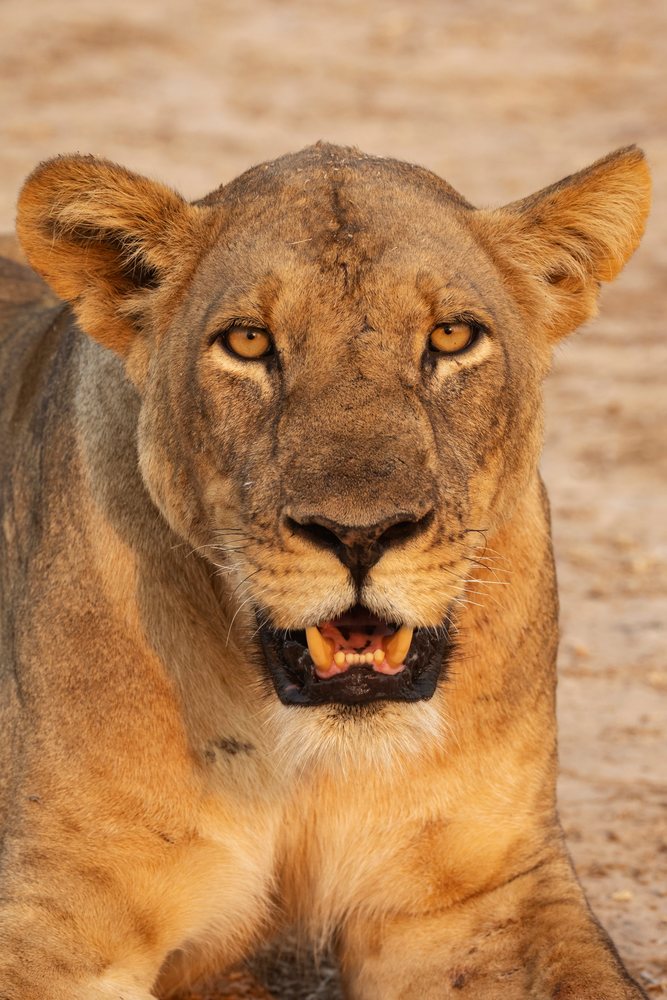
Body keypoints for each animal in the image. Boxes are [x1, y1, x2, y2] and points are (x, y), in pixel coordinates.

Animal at [0, 142, 651, 999]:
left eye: (451, 336)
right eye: (248, 342)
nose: (360, 533)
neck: (305, 760)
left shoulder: (481, 899)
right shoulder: (57, 911)